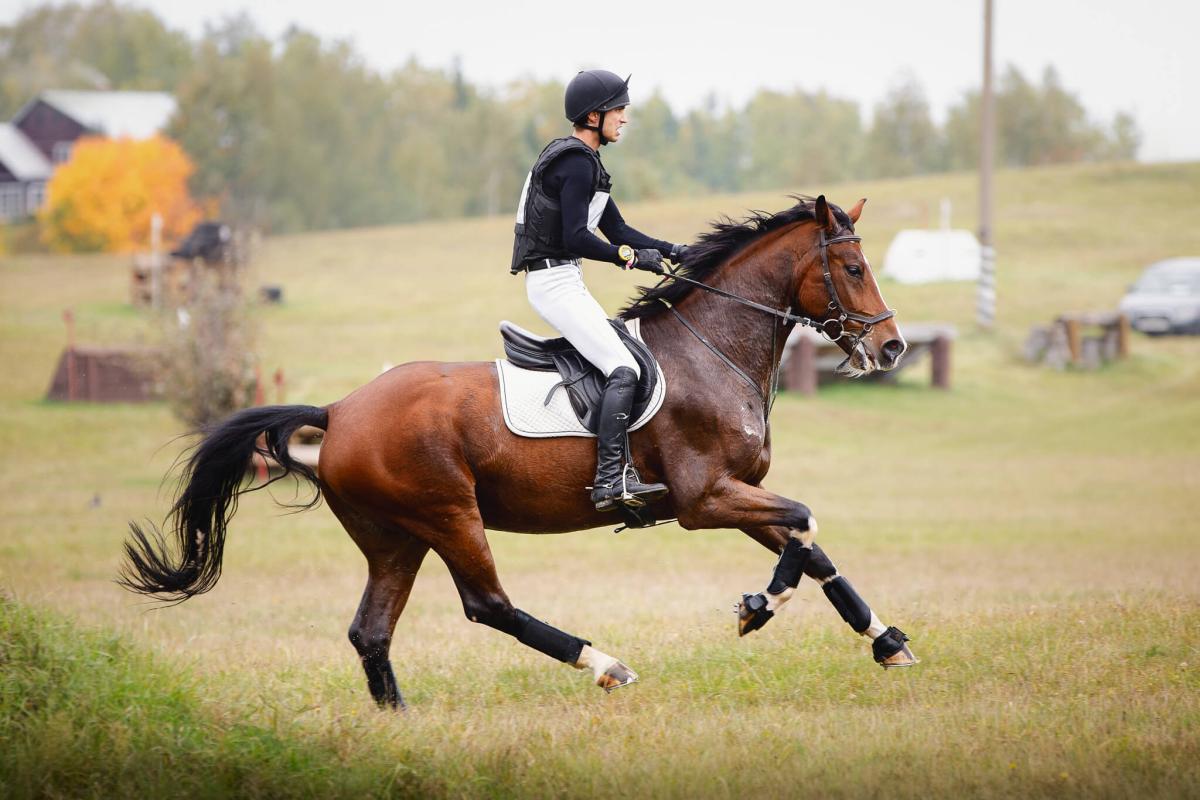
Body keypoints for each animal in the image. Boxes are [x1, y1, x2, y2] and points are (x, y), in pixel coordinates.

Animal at [120, 195, 918, 708]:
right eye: (853, 270)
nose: (891, 348)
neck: (712, 349)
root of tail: (339, 411)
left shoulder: (738, 494)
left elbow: (810, 546)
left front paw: (884, 640)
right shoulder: (704, 499)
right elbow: (805, 522)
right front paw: (760, 607)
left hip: (395, 537)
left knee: (370, 630)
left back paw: (398, 721)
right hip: (448, 515)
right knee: (488, 605)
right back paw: (605, 665)